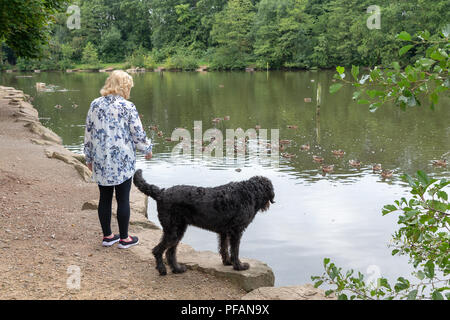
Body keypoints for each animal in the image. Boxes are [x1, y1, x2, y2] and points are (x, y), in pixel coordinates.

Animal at [132, 169, 276, 276]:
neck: (248, 192)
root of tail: (161, 192)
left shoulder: (224, 232)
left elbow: (224, 248)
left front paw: (227, 262)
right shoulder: (236, 231)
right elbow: (235, 250)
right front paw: (239, 265)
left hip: (178, 230)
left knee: (170, 252)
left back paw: (177, 269)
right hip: (173, 231)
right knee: (158, 250)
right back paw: (162, 270)